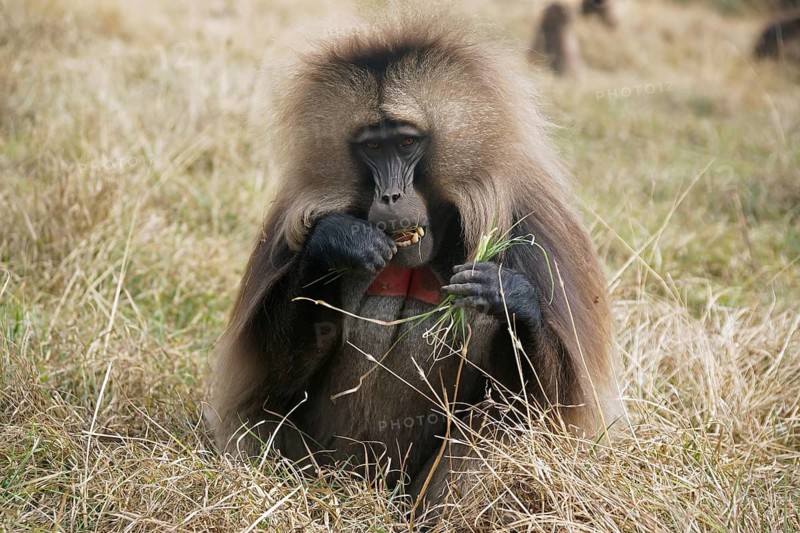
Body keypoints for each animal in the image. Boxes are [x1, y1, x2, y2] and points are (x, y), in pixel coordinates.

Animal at [205, 8, 618, 523]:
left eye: (405, 142)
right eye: (371, 147)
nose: (390, 197)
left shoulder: (533, 226)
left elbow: (541, 407)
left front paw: (507, 296)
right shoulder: (286, 226)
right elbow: (281, 380)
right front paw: (338, 241)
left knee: (493, 437)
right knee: (260, 427)